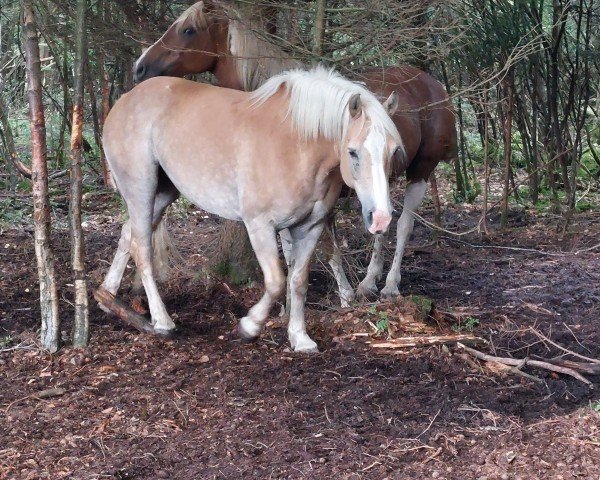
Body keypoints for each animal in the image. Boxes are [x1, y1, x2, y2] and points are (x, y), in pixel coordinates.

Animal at [101, 66, 404, 352]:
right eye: (352, 152)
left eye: (393, 152)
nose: (381, 218)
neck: (296, 146)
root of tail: (124, 101)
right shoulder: (260, 225)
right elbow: (276, 282)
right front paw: (250, 326)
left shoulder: (311, 227)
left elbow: (298, 281)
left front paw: (300, 338)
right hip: (141, 190)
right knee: (142, 249)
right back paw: (162, 321)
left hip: (163, 193)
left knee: (128, 235)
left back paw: (107, 296)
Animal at [135, 1, 454, 306]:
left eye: (188, 29)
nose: (140, 67)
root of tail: (430, 83)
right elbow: (291, 250)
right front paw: (289, 302)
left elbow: (326, 247)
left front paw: (343, 296)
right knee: (382, 228)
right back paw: (369, 282)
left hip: (420, 173)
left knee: (403, 226)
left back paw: (388, 285)